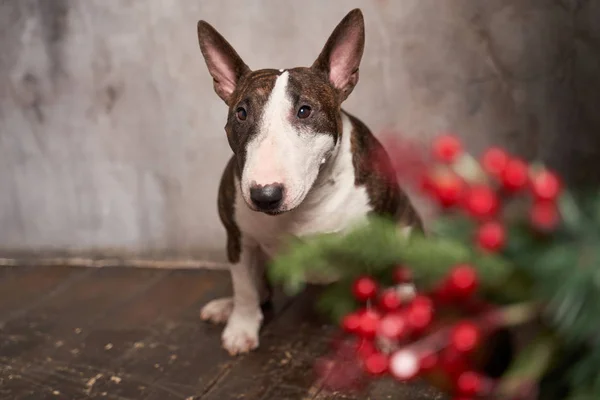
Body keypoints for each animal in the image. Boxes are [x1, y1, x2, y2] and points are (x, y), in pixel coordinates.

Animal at [197, 7, 422, 354]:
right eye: (241, 113)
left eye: (305, 110)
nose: (265, 195)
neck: (307, 204)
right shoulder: (238, 238)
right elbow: (244, 287)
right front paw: (241, 328)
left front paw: (381, 335)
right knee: (259, 289)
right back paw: (226, 306)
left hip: (406, 228)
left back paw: (402, 299)